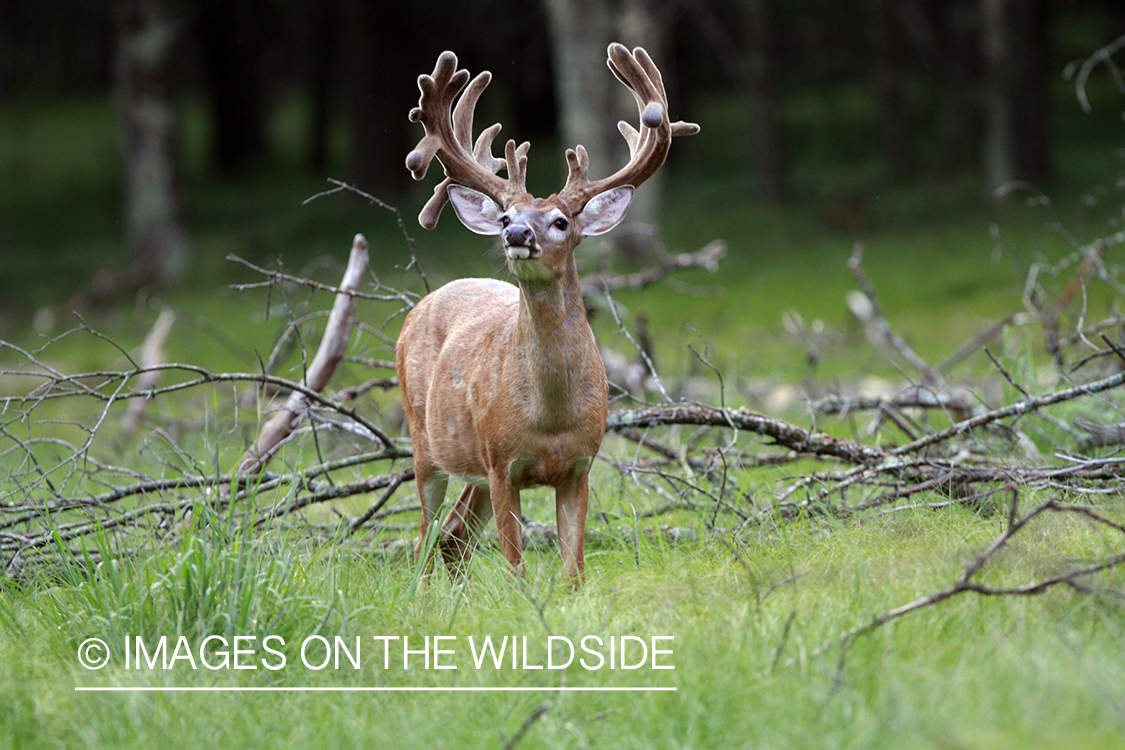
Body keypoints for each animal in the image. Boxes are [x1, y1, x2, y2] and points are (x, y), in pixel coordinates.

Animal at [396, 42, 693, 584]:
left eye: (560, 221)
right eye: (505, 218)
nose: (517, 235)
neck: (551, 418)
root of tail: (418, 308)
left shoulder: (580, 466)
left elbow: (574, 570)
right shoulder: (501, 464)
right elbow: (516, 568)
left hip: (469, 467)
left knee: (453, 538)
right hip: (425, 442)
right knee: (425, 540)